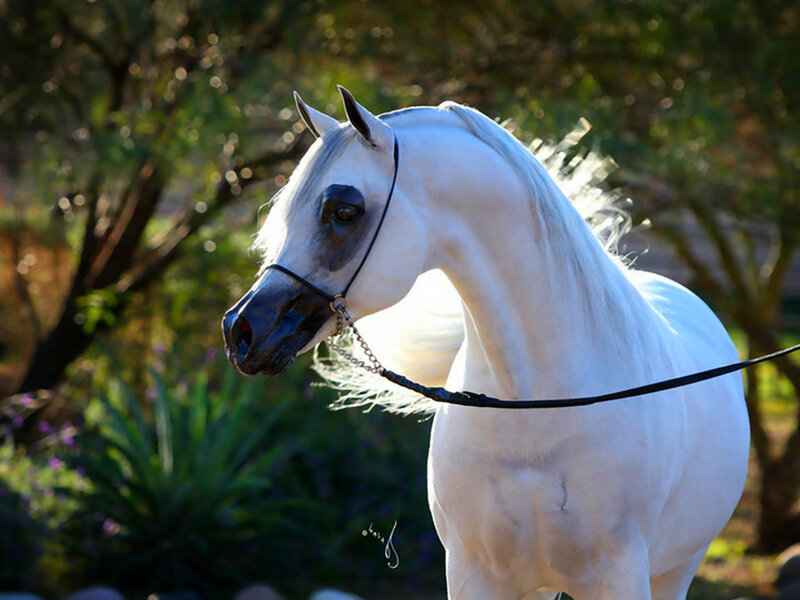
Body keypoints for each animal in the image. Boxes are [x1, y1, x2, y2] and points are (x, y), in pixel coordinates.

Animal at [222, 86, 750, 600]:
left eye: (344, 211)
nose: (240, 331)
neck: (535, 413)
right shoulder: (474, 574)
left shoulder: (619, 576)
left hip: (676, 570)